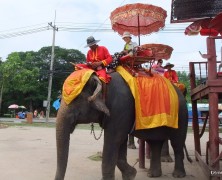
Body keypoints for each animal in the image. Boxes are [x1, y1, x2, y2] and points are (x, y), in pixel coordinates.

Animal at [54, 71, 188, 180]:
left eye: (75, 100)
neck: (104, 80)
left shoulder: (121, 108)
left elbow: (113, 141)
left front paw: (129, 175)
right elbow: (120, 143)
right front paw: (131, 175)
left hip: (181, 115)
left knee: (177, 143)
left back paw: (178, 175)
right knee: (155, 143)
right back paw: (153, 175)